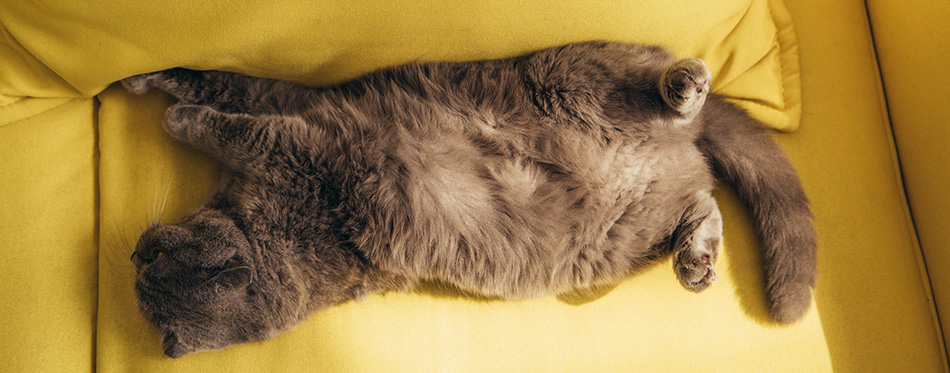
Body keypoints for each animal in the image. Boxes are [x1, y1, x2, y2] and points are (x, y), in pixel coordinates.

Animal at [124, 40, 820, 358]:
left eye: (155, 260)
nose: (131, 253)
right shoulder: (300, 133)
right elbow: (217, 88)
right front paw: (147, 85)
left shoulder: (305, 141)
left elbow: (224, 105)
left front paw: (171, 109)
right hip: (625, 237)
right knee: (703, 199)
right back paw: (695, 260)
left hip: (575, 74)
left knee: (668, 87)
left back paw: (683, 85)